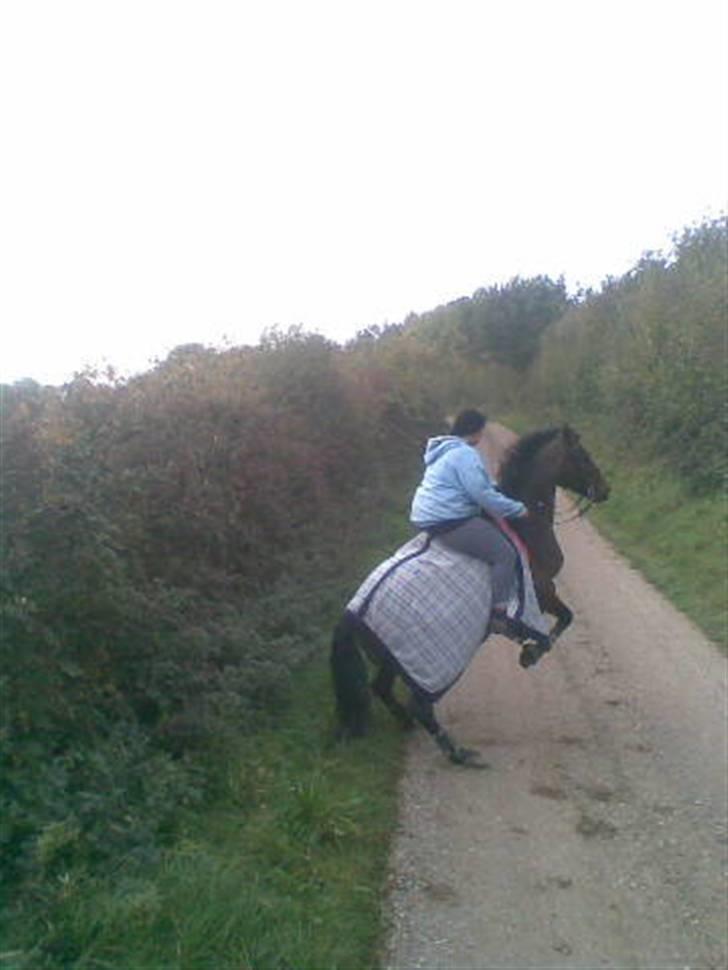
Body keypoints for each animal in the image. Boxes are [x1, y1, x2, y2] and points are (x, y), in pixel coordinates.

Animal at [330, 424, 608, 764]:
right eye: (582, 455)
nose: (605, 489)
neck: (525, 523)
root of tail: (353, 614)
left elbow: (564, 621)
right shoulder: (543, 592)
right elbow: (564, 620)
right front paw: (530, 653)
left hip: (391, 659)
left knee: (381, 689)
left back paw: (408, 725)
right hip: (424, 664)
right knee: (419, 706)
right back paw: (457, 753)